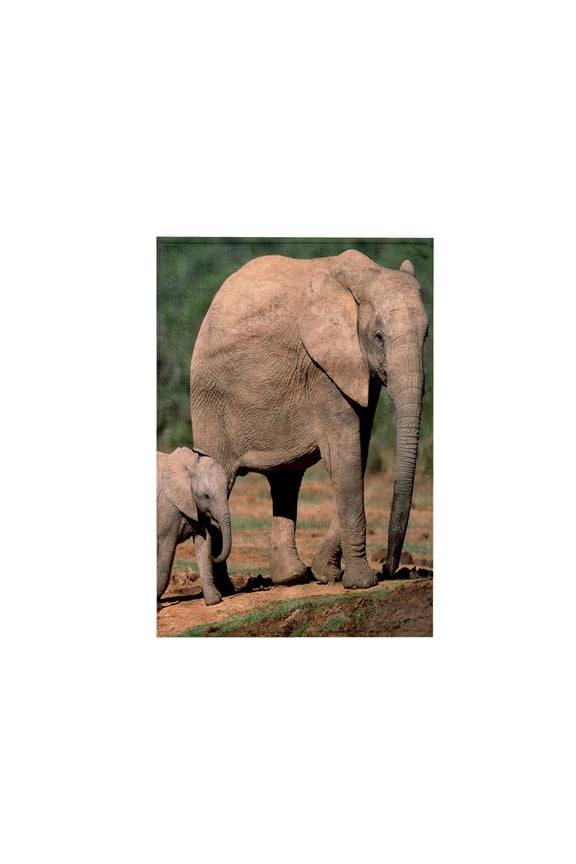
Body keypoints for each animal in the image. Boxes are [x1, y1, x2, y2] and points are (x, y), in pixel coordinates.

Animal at [157, 447, 232, 606]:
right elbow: (167, 548)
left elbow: (204, 542)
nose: (216, 555)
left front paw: (214, 601)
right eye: (206, 496)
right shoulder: (168, 506)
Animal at [190, 249, 428, 590]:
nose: (390, 568)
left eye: (427, 335)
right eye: (379, 337)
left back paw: (291, 577)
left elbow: (356, 453)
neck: (364, 274)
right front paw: (361, 583)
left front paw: (326, 575)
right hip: (210, 398)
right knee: (223, 478)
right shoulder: (321, 368)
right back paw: (224, 590)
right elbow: (346, 457)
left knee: (286, 479)